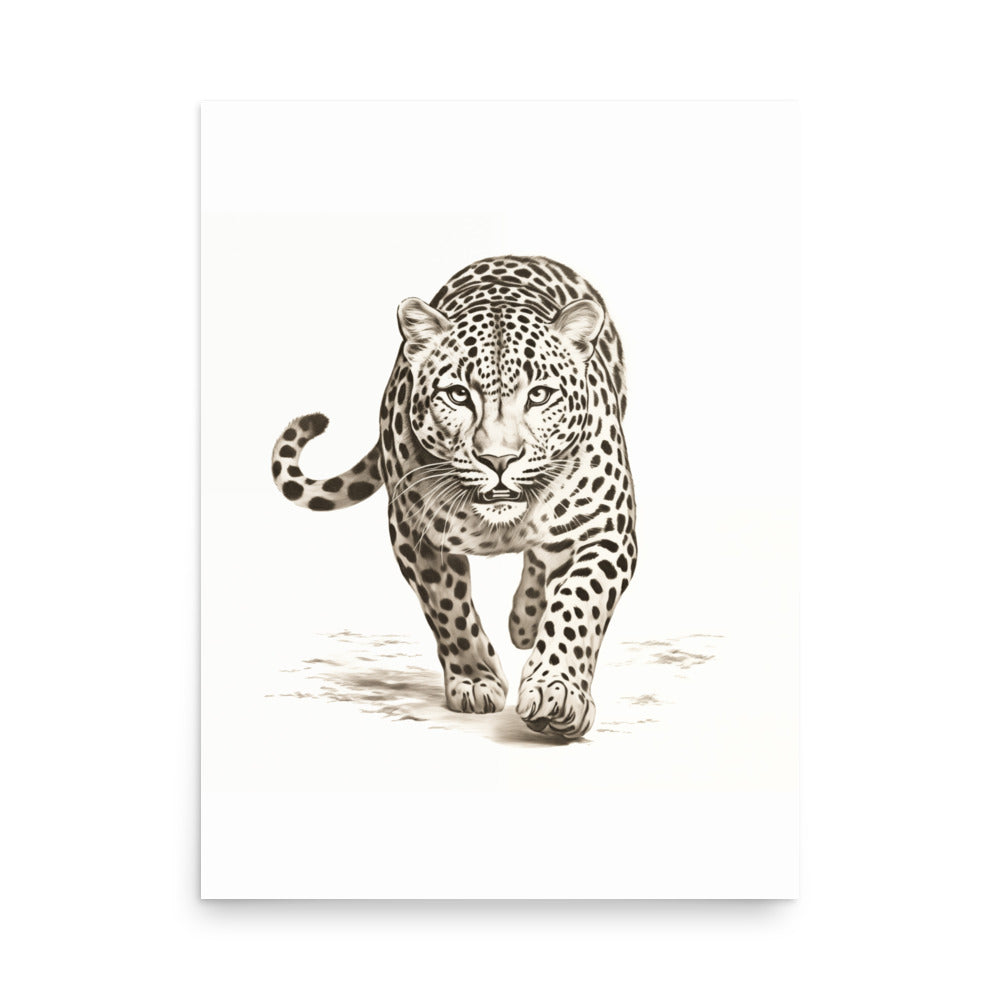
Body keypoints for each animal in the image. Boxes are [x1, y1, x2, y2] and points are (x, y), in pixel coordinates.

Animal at [271, 255, 637, 739]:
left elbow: (578, 605)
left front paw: (557, 692)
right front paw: (476, 681)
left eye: (539, 395)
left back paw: (526, 622)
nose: (499, 459)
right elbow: (448, 609)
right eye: (458, 395)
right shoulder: (415, 535)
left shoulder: (606, 529)